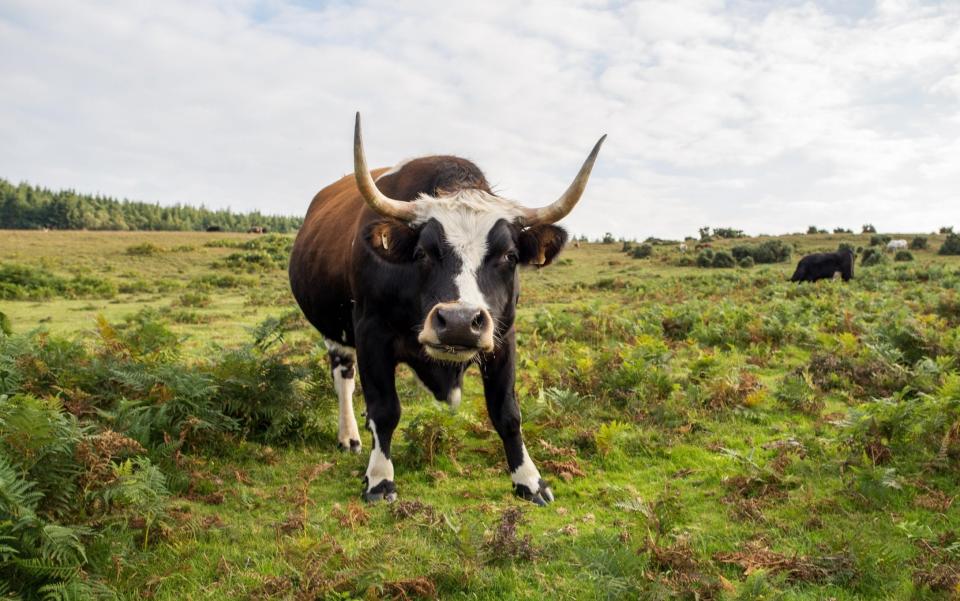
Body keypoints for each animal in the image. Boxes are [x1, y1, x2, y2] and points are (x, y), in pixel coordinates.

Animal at [284, 111, 604, 502]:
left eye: (510, 256)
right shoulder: (371, 332)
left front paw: (530, 481)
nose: (459, 321)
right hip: (336, 331)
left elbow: (507, 412)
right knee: (343, 375)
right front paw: (379, 479)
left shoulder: (503, 336)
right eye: (422, 252)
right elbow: (384, 410)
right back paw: (350, 437)